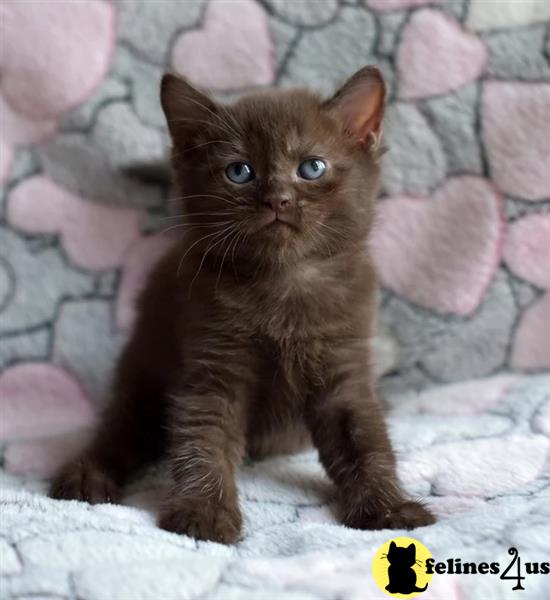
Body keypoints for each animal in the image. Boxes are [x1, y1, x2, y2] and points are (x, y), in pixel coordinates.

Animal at [52, 68, 440, 540]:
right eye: (239, 171)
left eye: (312, 167)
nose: (278, 199)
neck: (282, 284)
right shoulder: (213, 363)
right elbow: (203, 437)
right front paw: (203, 512)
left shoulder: (343, 365)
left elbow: (364, 439)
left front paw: (388, 508)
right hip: (142, 370)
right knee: (122, 428)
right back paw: (86, 475)